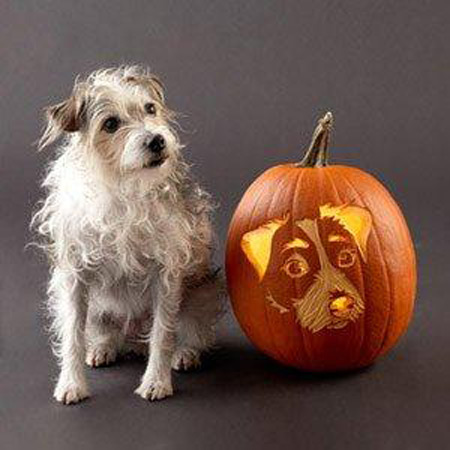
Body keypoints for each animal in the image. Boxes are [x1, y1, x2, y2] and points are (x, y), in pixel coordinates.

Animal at [30, 66, 224, 404]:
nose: (157, 140)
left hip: (202, 294)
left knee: (190, 332)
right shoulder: (74, 276)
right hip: (97, 307)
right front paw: (71, 383)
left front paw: (157, 381)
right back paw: (102, 347)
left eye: (150, 109)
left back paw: (185, 354)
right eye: (110, 124)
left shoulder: (166, 274)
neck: (123, 185)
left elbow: (162, 332)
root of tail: (133, 340)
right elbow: (72, 335)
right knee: (104, 331)